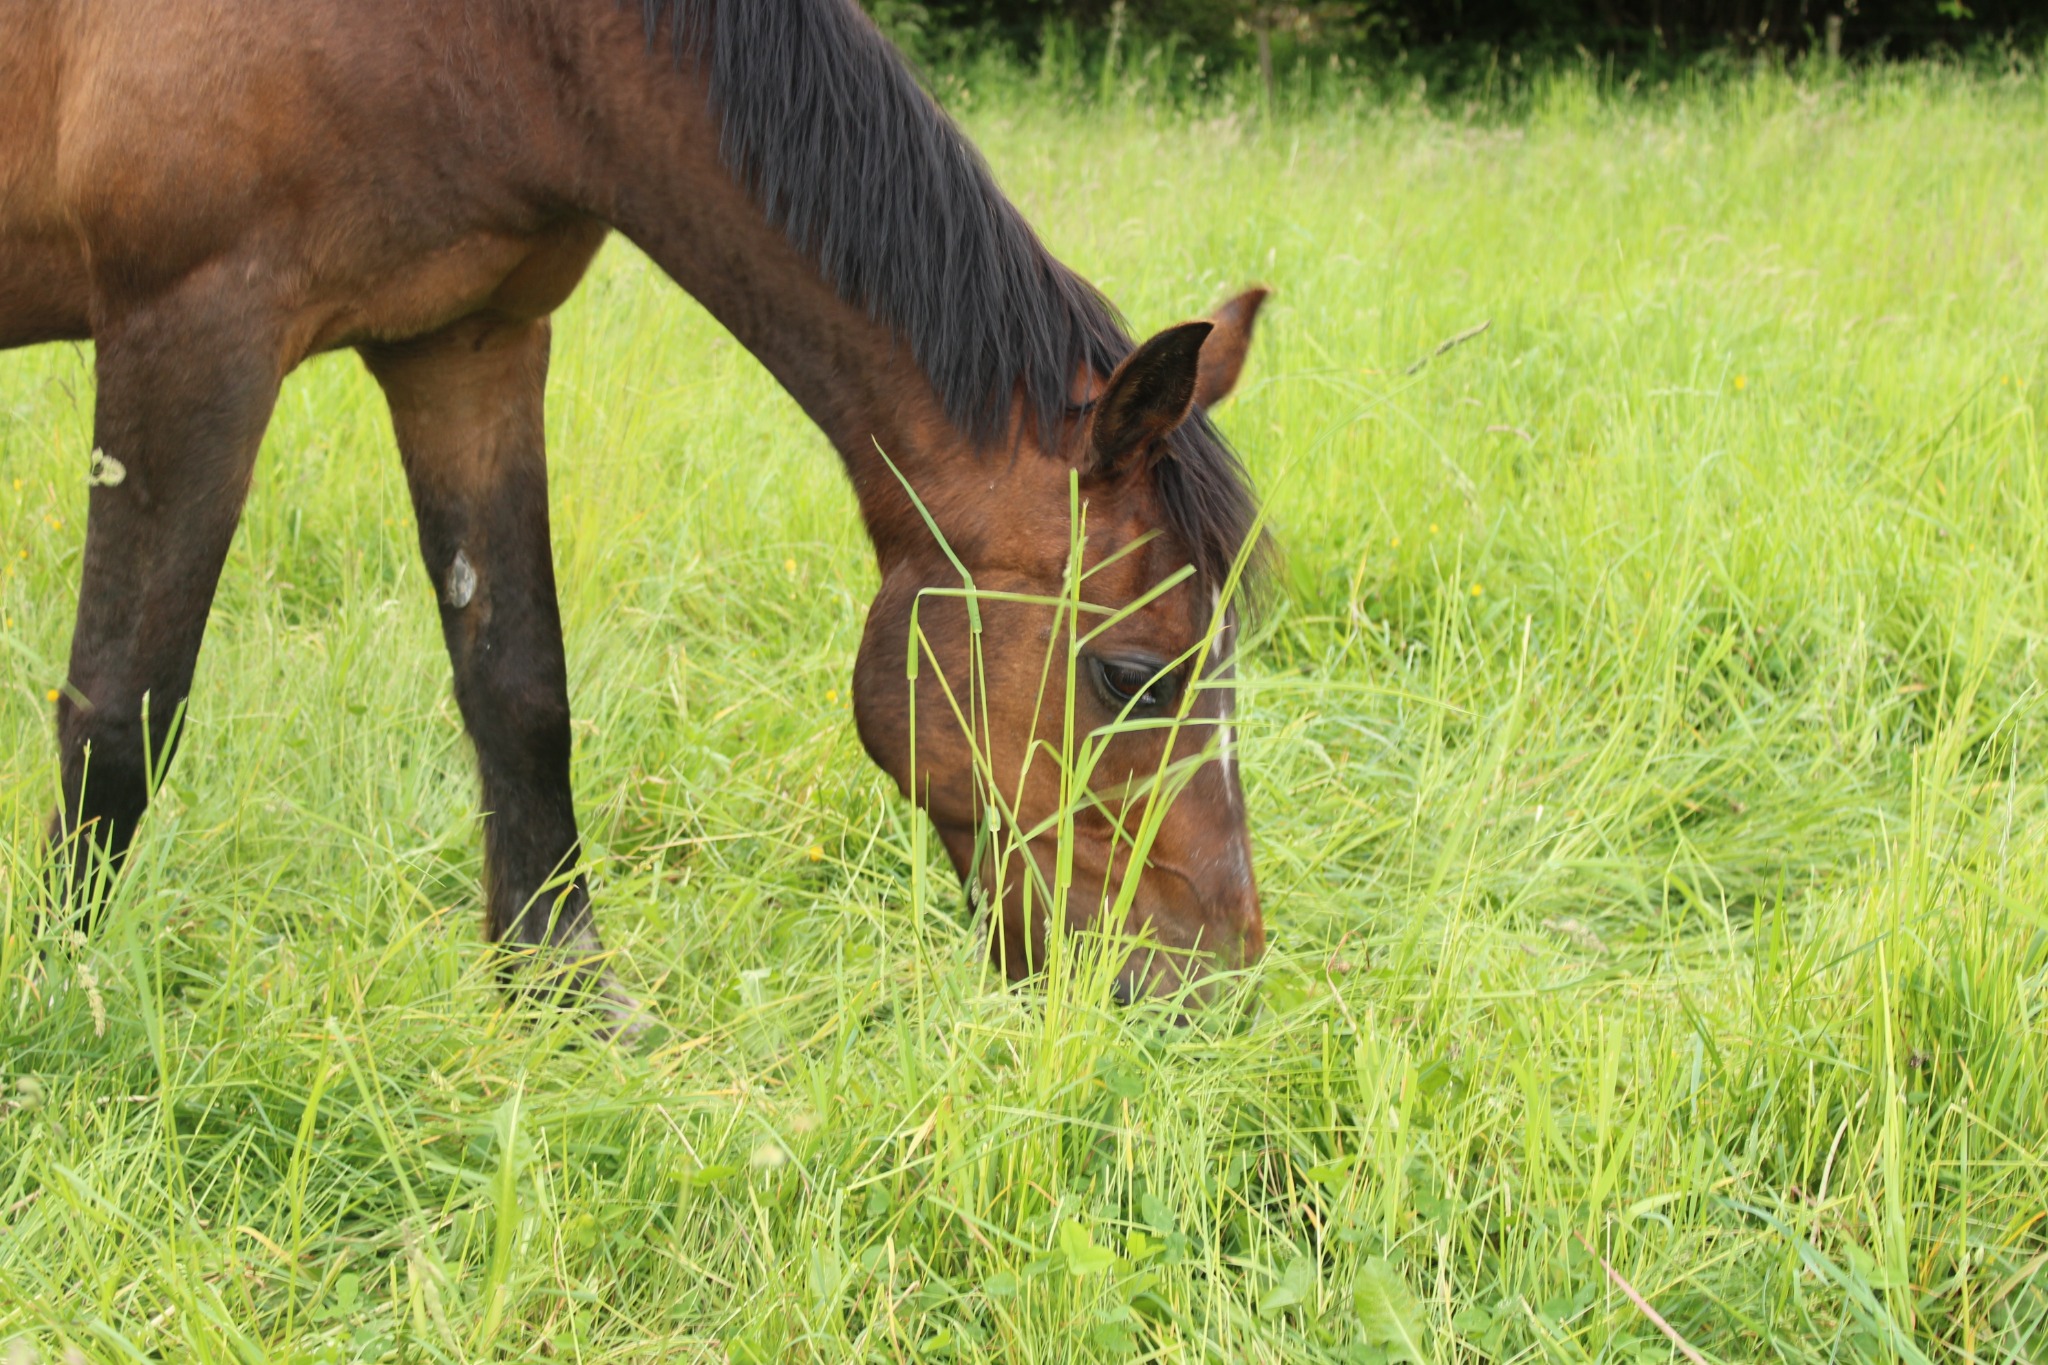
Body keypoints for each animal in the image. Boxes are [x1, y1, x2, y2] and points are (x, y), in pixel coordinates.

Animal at [0, 0, 1270, 1030]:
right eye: (1128, 674)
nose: (1206, 989)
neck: (492, 39)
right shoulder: (193, 326)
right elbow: (121, 712)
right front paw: (62, 1001)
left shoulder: (469, 341)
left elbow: (519, 691)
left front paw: (566, 998)